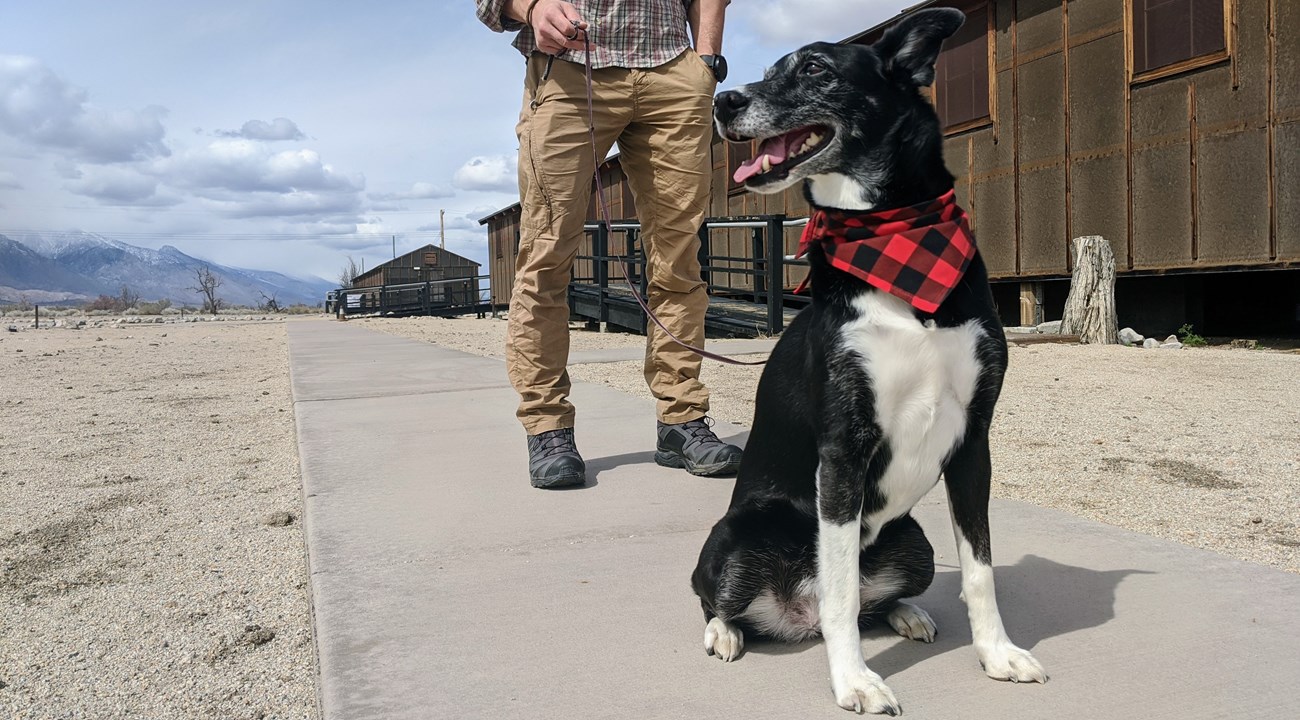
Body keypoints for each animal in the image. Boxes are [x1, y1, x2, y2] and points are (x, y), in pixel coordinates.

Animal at [691, 6, 1045, 712]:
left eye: (816, 69)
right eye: (768, 70)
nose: (724, 100)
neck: (894, 240)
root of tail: (789, 617)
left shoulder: (975, 441)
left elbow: (980, 569)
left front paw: (997, 654)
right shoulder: (843, 450)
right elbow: (841, 589)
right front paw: (854, 679)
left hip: (914, 539)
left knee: (881, 595)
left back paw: (906, 614)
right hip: (739, 536)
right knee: (717, 596)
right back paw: (726, 632)